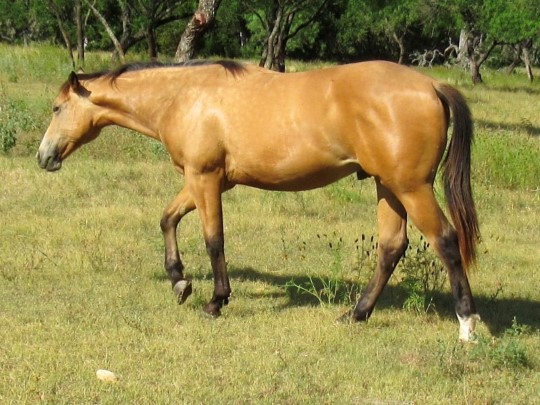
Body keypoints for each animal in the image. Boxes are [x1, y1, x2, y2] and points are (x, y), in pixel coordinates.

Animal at [37, 59, 480, 338]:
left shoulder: (205, 179)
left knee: (445, 241)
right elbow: (167, 218)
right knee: (391, 247)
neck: (186, 96)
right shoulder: (206, 181)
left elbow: (213, 240)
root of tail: (430, 85)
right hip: (387, 187)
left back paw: (466, 325)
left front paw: (216, 301)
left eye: (57, 108)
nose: (43, 157)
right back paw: (356, 314)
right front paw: (179, 281)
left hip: (411, 188)